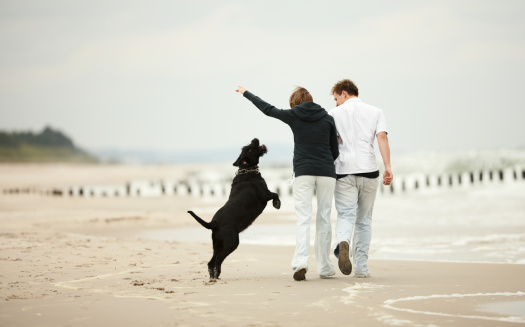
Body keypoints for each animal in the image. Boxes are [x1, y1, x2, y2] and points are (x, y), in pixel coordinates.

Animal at [187, 140, 280, 280]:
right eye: (250, 149)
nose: (255, 139)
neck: (247, 171)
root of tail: (213, 223)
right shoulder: (265, 194)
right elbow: (275, 194)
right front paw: (277, 204)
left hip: (218, 244)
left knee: (211, 261)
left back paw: (213, 277)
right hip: (232, 242)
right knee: (218, 259)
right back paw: (217, 274)